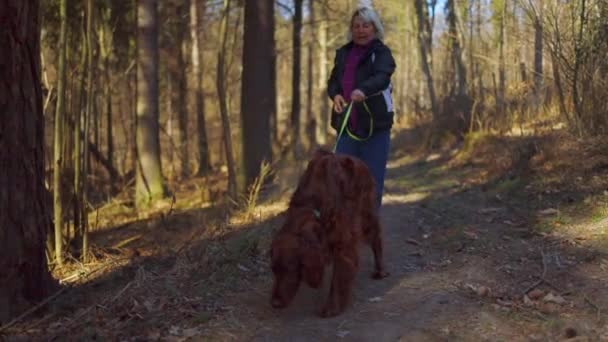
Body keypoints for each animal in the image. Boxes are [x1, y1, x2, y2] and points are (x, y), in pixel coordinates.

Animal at [270, 150, 390, 318]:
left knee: (376, 238)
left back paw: (380, 270)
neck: (313, 207)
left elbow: (338, 277)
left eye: (289, 268)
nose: (274, 304)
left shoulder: (344, 244)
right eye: (273, 269)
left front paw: (331, 307)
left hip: (366, 215)